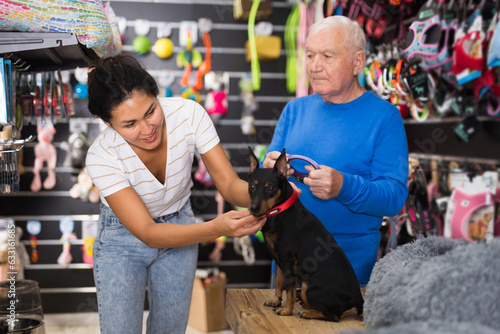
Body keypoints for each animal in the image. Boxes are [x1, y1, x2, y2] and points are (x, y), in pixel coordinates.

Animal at [247, 149, 362, 320]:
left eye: (271, 188)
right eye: (252, 186)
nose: (253, 208)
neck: (280, 210)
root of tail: (358, 299)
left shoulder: (289, 262)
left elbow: (290, 290)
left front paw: (286, 311)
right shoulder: (279, 260)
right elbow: (279, 283)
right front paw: (276, 301)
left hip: (309, 287)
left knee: (334, 316)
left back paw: (308, 312)